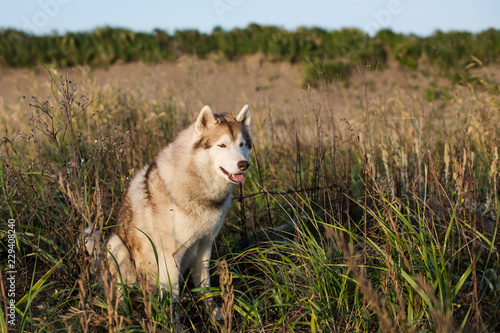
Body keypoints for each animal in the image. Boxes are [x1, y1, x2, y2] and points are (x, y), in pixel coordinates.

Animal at [88, 103, 252, 316]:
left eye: (241, 144)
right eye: (222, 145)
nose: (243, 164)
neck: (197, 187)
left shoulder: (205, 244)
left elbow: (204, 286)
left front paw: (213, 313)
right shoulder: (170, 255)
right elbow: (172, 298)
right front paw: (173, 321)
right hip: (116, 246)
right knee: (119, 293)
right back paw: (125, 315)